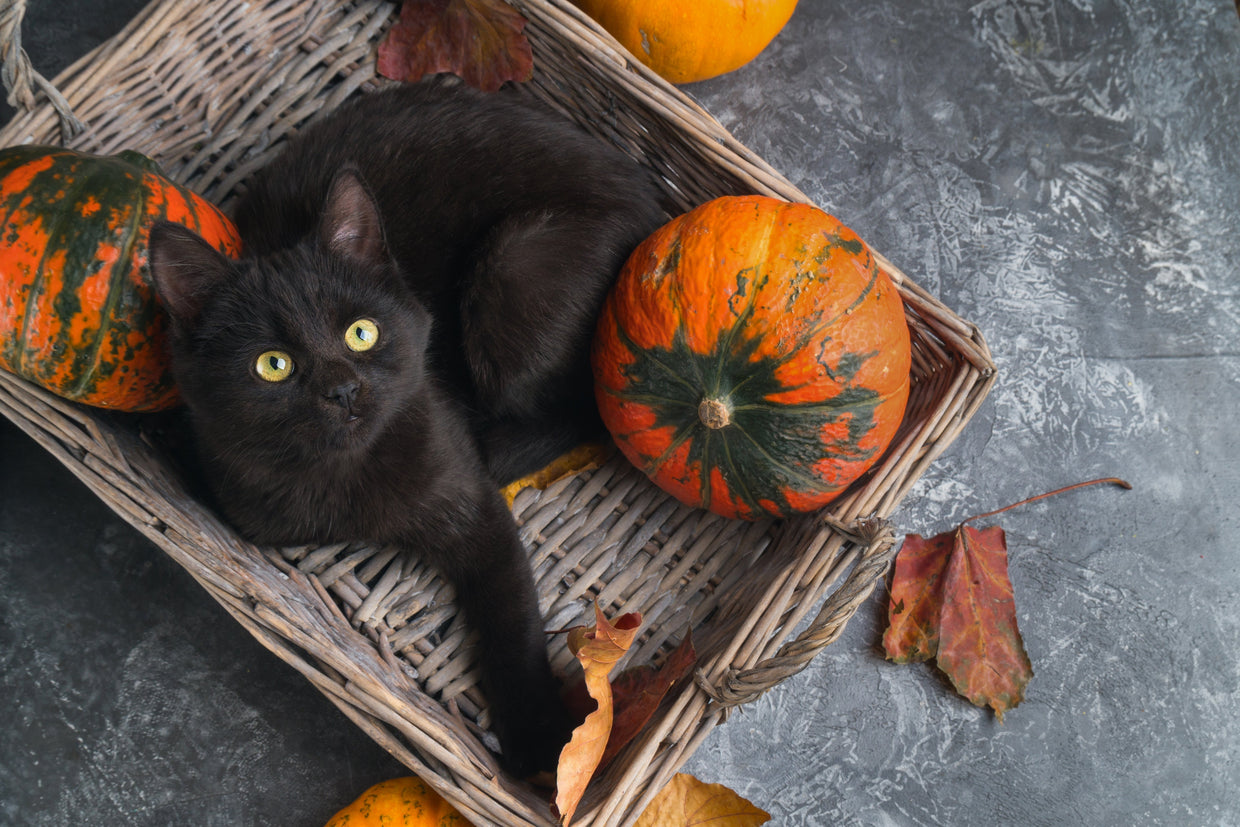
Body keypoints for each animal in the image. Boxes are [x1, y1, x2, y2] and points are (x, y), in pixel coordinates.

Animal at [150, 82, 674, 778]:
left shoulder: (476, 508)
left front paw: (539, 743)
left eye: (361, 333)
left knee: (586, 411)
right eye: (272, 365)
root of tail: (656, 213)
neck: (345, 482)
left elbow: (510, 618)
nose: (343, 390)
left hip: (514, 264)